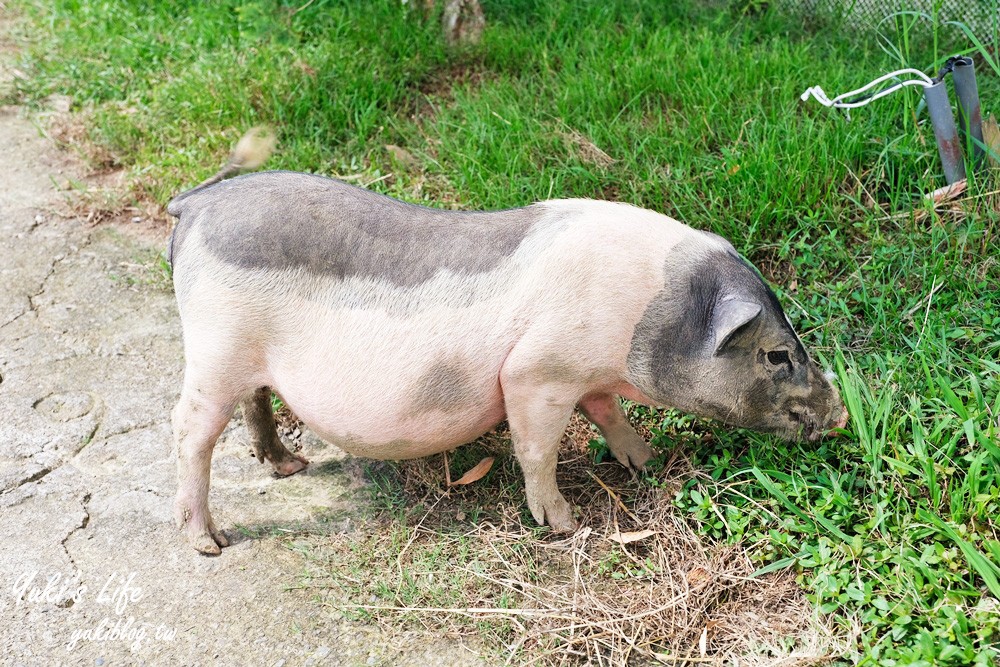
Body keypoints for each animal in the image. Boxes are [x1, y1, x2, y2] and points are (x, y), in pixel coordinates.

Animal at [168, 170, 848, 556]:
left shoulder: (586, 374)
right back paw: (209, 544)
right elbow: (536, 449)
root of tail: (195, 205)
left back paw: (290, 466)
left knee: (255, 401)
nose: (842, 415)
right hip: (213, 348)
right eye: (777, 354)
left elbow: (608, 413)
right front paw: (564, 526)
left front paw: (646, 461)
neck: (644, 314)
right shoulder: (537, 371)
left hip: (246, 358)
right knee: (190, 430)